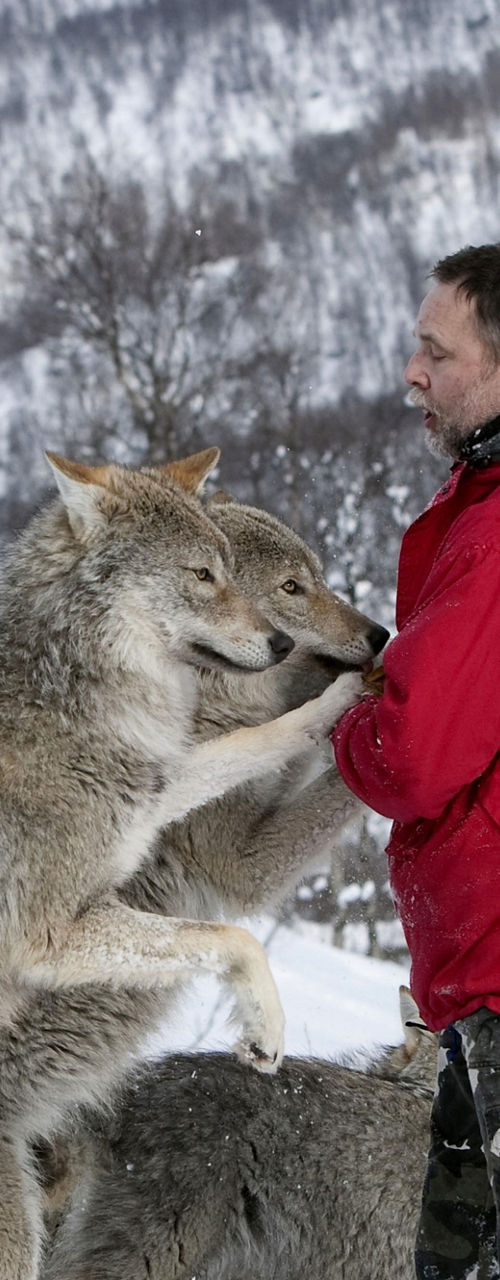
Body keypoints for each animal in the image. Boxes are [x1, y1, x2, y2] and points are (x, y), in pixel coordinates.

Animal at [0, 448, 365, 1280]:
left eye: (321, 578)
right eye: (293, 588)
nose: (382, 631)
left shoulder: (168, 778)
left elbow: (266, 740)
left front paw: (347, 695)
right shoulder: (235, 866)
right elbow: (253, 910)